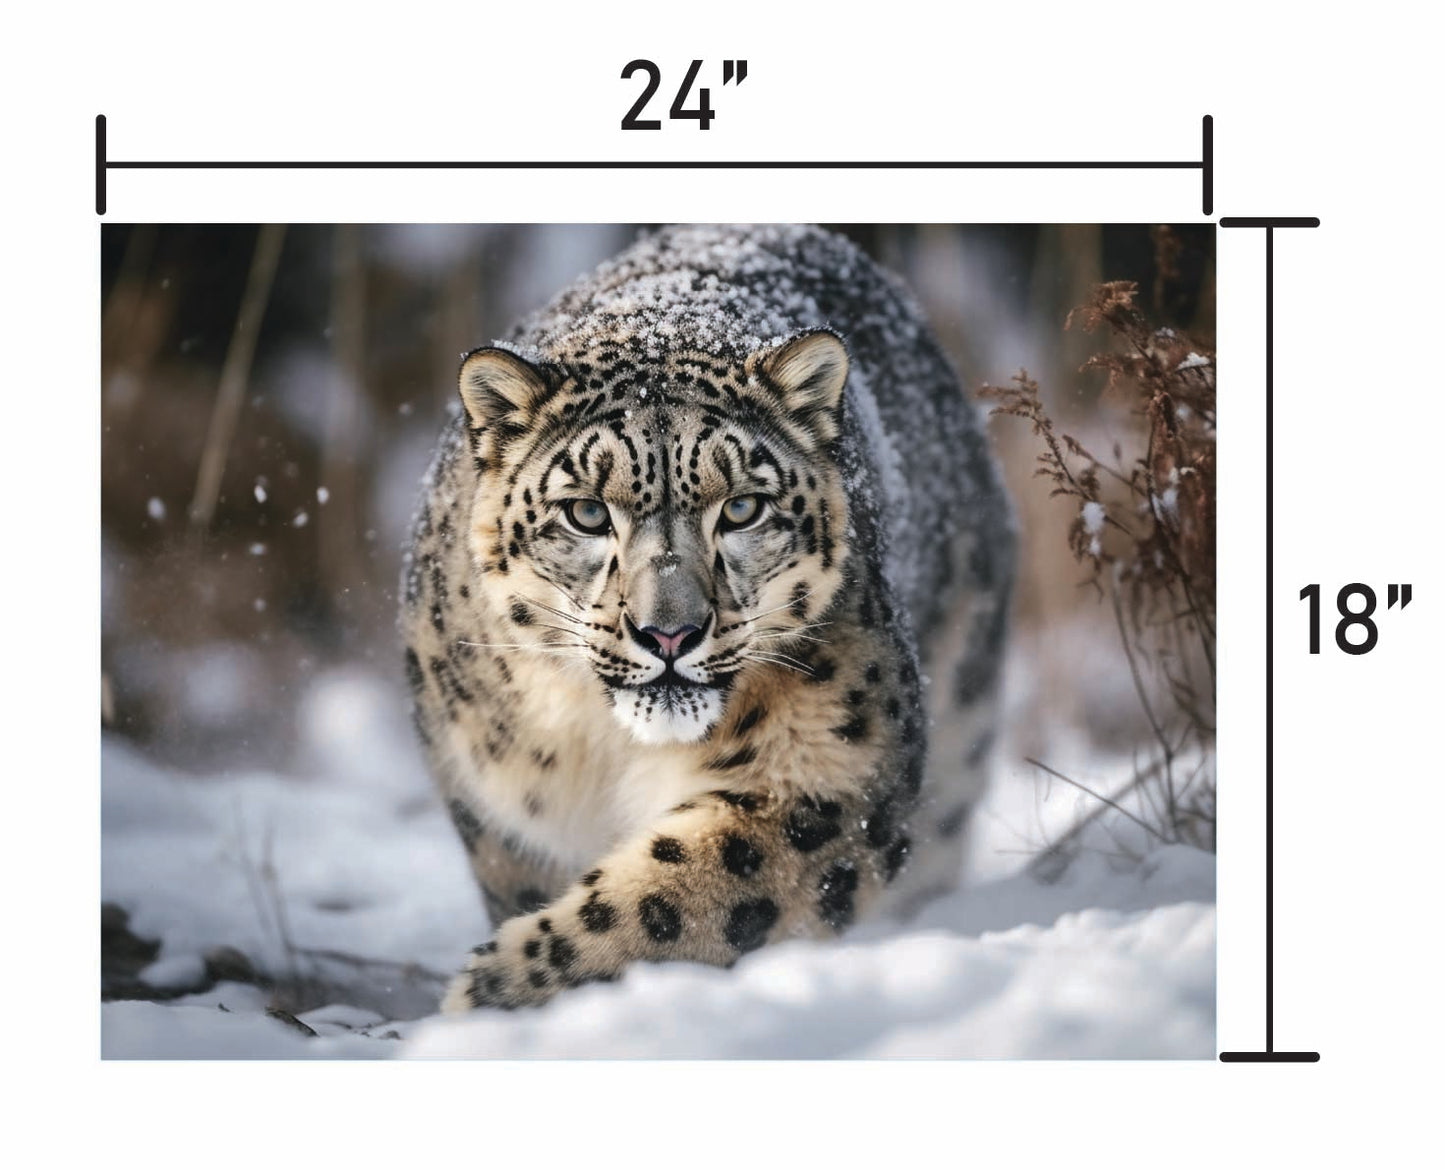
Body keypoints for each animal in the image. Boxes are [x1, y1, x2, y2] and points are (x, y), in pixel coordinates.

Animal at [400, 224, 1015, 1011]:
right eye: (587, 512)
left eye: (743, 507)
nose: (670, 632)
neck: (608, 752)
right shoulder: (498, 807)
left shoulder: (829, 772)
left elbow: (680, 897)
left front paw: (497, 989)